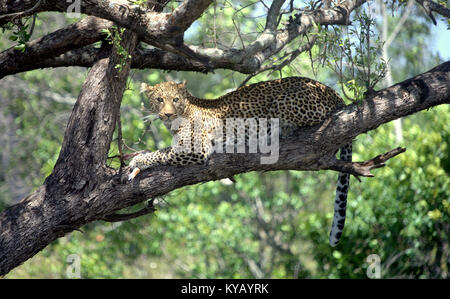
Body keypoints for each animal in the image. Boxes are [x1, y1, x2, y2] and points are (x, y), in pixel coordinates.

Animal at [128, 78, 354, 248]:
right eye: (159, 99)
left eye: (175, 99)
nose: (167, 114)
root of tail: (334, 93)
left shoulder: (194, 148)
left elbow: (161, 152)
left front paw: (137, 161)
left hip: (283, 102)